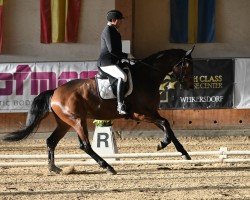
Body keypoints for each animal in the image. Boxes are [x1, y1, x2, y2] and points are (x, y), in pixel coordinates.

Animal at [3, 46, 195, 174]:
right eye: (186, 66)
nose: (190, 86)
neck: (146, 77)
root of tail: (55, 91)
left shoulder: (151, 112)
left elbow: (168, 127)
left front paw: (183, 153)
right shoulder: (141, 114)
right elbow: (165, 124)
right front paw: (162, 144)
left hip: (65, 123)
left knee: (51, 141)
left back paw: (55, 168)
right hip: (77, 120)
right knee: (85, 145)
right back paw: (108, 167)